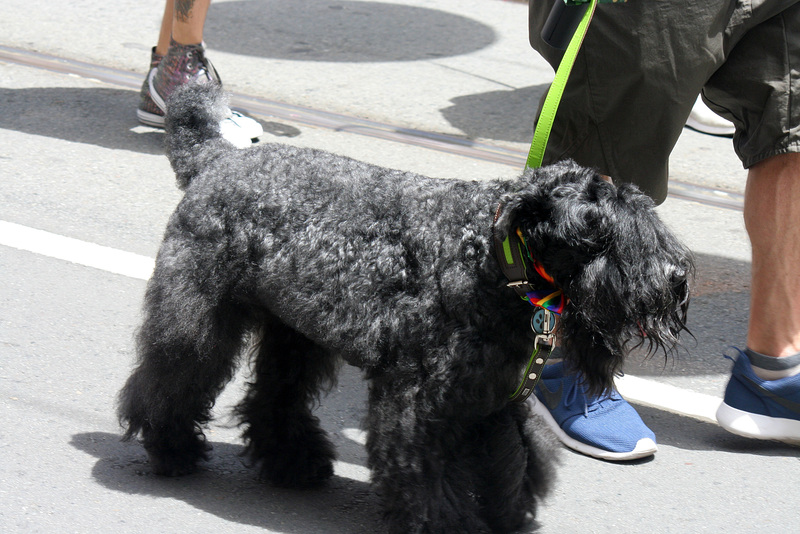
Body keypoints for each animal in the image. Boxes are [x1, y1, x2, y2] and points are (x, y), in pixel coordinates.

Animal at [119, 84, 692, 532]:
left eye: (645, 216)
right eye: (600, 231)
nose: (676, 277)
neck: (487, 256)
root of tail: (215, 159)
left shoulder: (493, 398)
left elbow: (512, 462)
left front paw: (509, 517)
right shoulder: (422, 404)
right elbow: (430, 477)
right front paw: (447, 525)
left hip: (295, 333)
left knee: (276, 396)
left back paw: (294, 463)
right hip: (200, 315)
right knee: (171, 376)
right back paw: (172, 448)